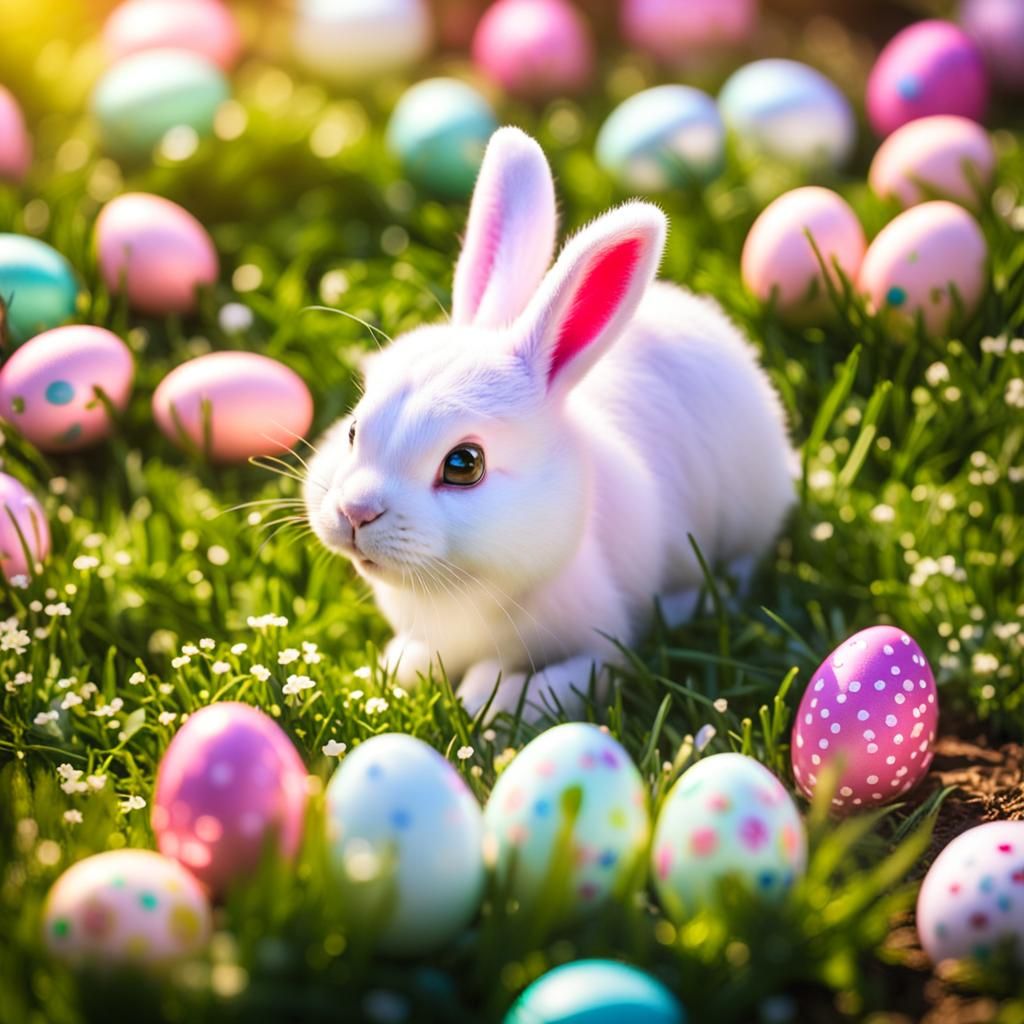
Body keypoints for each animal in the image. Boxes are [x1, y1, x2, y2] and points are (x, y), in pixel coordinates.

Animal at [305, 126, 796, 722]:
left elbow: (558, 682)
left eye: (464, 465)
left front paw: (488, 703)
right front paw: (399, 672)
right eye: (353, 430)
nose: (356, 512)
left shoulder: (605, 647)